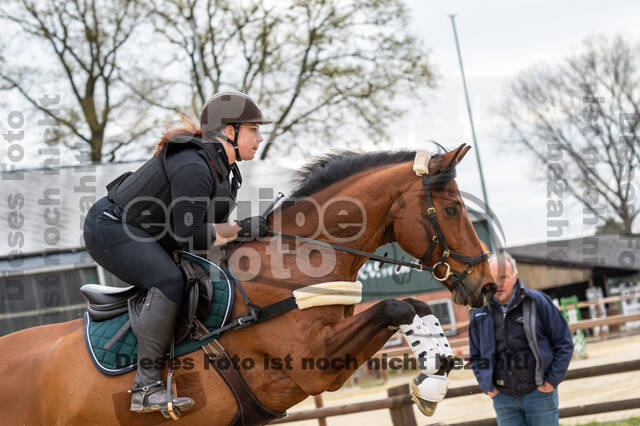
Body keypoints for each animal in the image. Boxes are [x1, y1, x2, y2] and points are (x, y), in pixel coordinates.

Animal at [0, 145, 496, 424]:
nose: (487, 286)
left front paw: (435, 375)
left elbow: (416, 305)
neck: (296, 258)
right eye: (452, 209)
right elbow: (397, 306)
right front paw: (429, 384)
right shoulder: (313, 361)